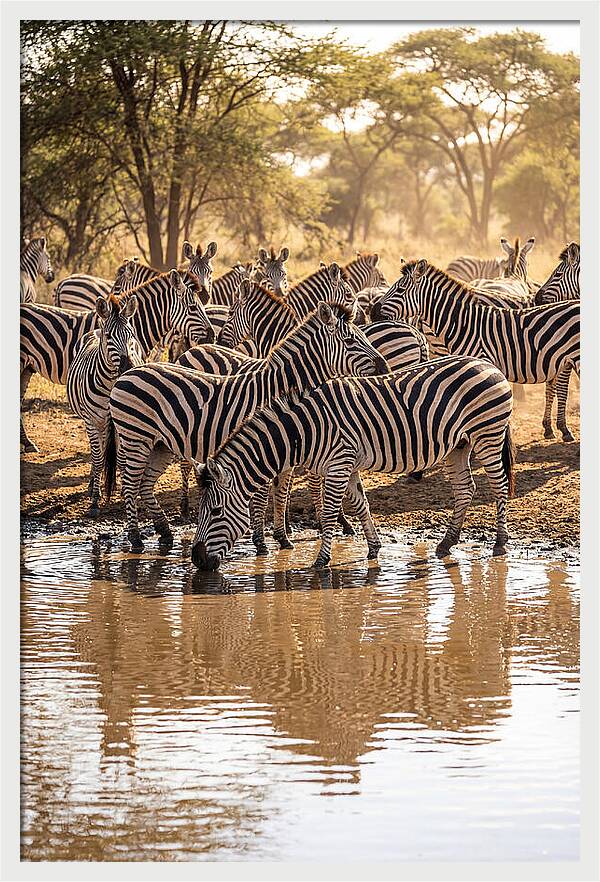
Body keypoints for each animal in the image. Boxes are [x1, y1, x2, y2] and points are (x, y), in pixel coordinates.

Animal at [67, 294, 144, 513]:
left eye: (131, 334)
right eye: (109, 336)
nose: (129, 367)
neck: (110, 385)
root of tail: (95, 330)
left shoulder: (123, 424)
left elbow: (122, 460)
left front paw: (126, 493)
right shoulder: (92, 421)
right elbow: (99, 457)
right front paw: (95, 499)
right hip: (93, 422)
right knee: (97, 452)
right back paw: (93, 484)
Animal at [104, 302, 388, 552]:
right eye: (350, 341)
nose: (385, 366)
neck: (279, 389)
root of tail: (126, 374)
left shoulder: (285, 448)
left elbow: (281, 493)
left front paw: (283, 538)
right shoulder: (264, 445)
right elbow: (262, 497)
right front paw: (261, 542)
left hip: (161, 445)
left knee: (145, 485)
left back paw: (164, 533)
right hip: (136, 439)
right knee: (130, 485)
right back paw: (136, 539)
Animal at [190, 355, 515, 570]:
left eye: (216, 511)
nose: (197, 559)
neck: (305, 429)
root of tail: (488, 365)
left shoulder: (339, 464)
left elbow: (330, 514)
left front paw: (321, 561)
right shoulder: (347, 465)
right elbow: (361, 505)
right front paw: (373, 548)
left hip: (487, 434)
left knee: (499, 486)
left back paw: (500, 542)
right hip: (458, 445)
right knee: (465, 489)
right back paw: (447, 542)